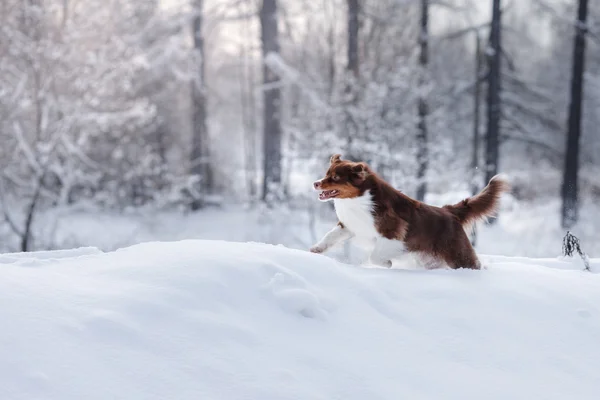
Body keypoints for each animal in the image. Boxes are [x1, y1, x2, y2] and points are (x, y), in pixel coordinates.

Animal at [310, 155, 510, 270]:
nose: (315, 183)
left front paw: (387, 263)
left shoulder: (393, 232)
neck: (359, 199)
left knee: (472, 264)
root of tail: (449, 211)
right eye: (326, 173)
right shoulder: (350, 225)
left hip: (457, 253)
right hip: (430, 259)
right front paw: (315, 249)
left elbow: (375, 256)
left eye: (335, 177)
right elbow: (330, 236)